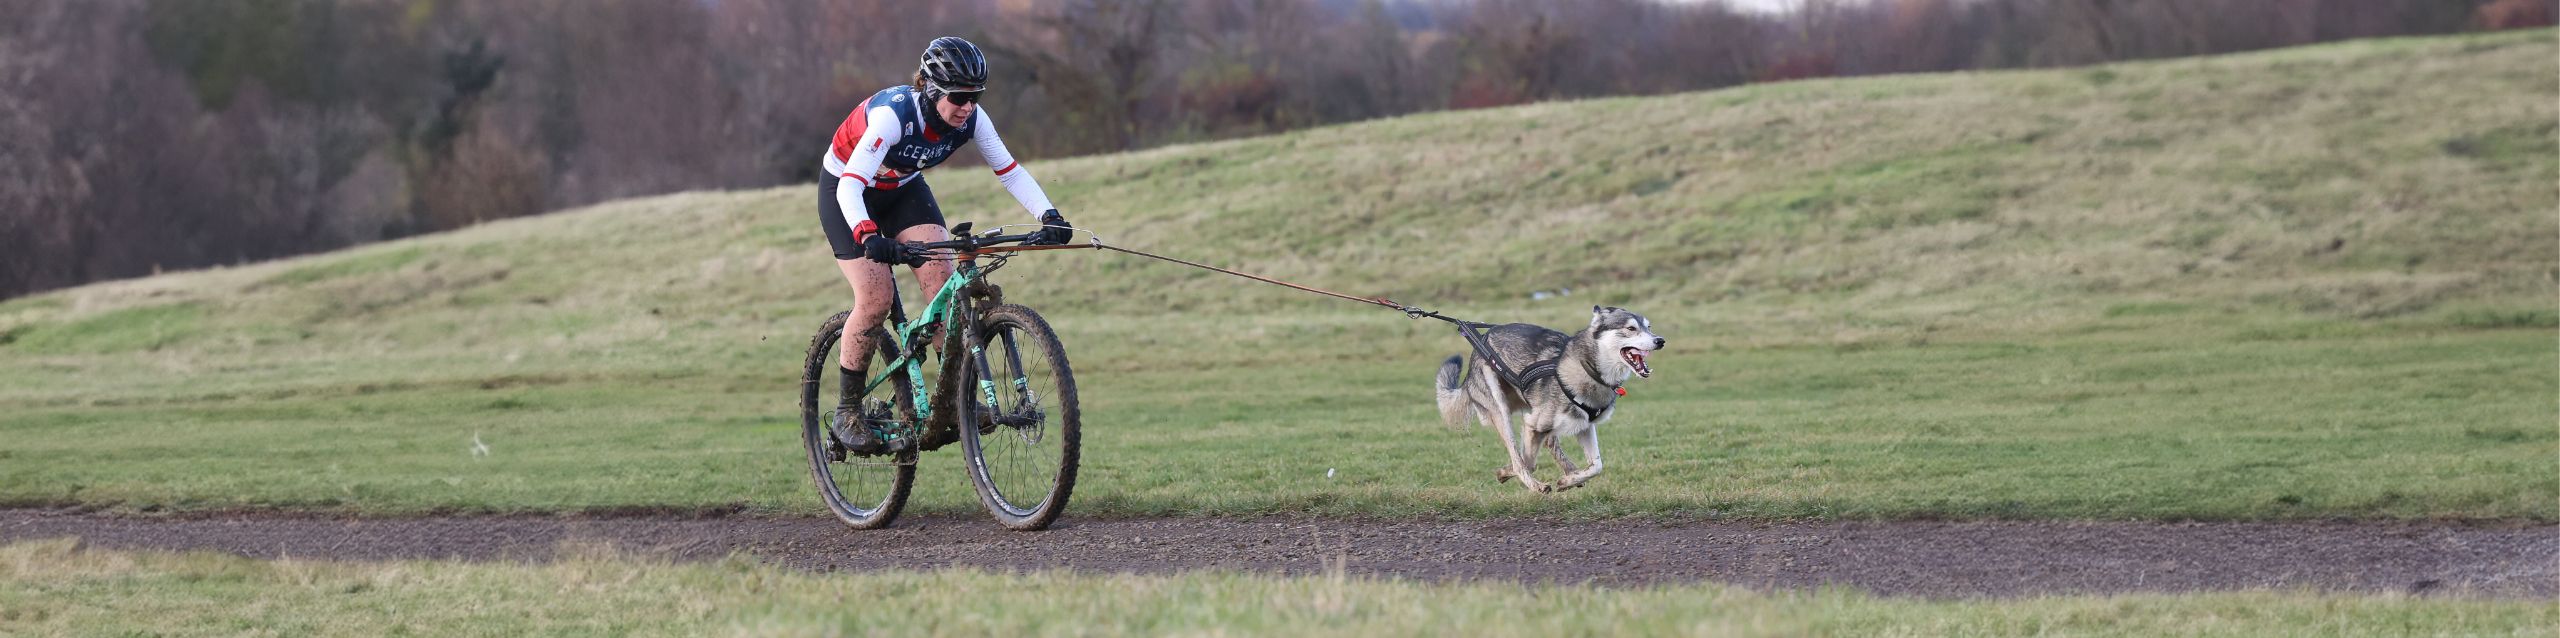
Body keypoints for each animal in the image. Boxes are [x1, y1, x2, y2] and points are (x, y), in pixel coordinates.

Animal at [1434, 306, 1663, 493]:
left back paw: (1570, 472)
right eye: (1631, 328)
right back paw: (1535, 482)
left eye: (1649, 327)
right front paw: (1509, 473)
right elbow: (1524, 463)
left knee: (1551, 443)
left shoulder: (1584, 426)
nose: (1660, 341)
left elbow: (1596, 466)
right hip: (1502, 411)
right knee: (1521, 457)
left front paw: (1568, 480)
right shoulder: (1531, 425)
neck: (1587, 368)